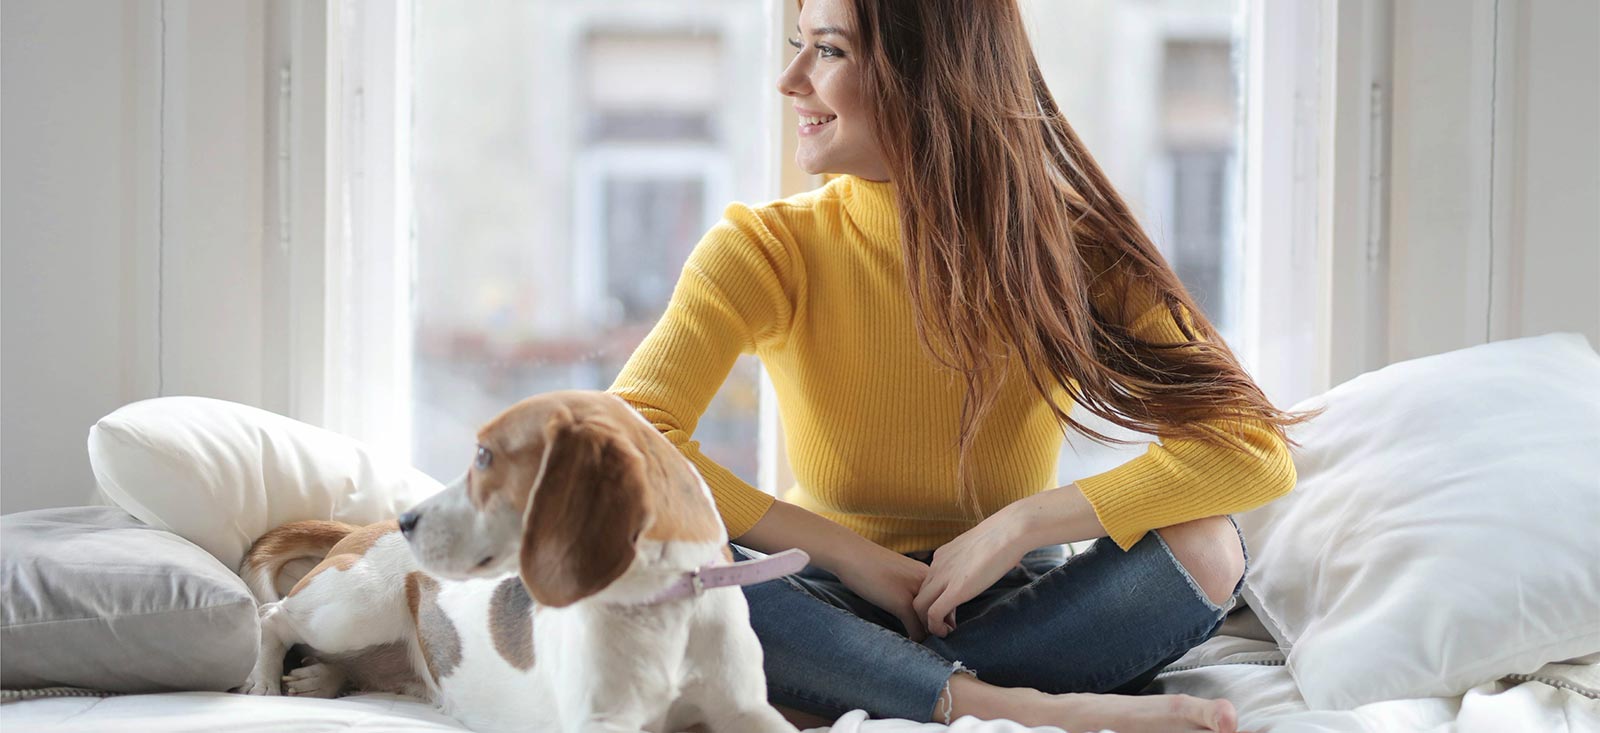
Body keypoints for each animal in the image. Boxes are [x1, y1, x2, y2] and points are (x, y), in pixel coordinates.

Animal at [235, 392, 800, 733]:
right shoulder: (602, 721)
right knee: (273, 616)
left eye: (484, 457)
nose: (408, 520)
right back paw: (263, 677)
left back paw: (320, 680)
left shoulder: (749, 711)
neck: (667, 607)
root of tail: (362, 530)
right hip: (355, 610)